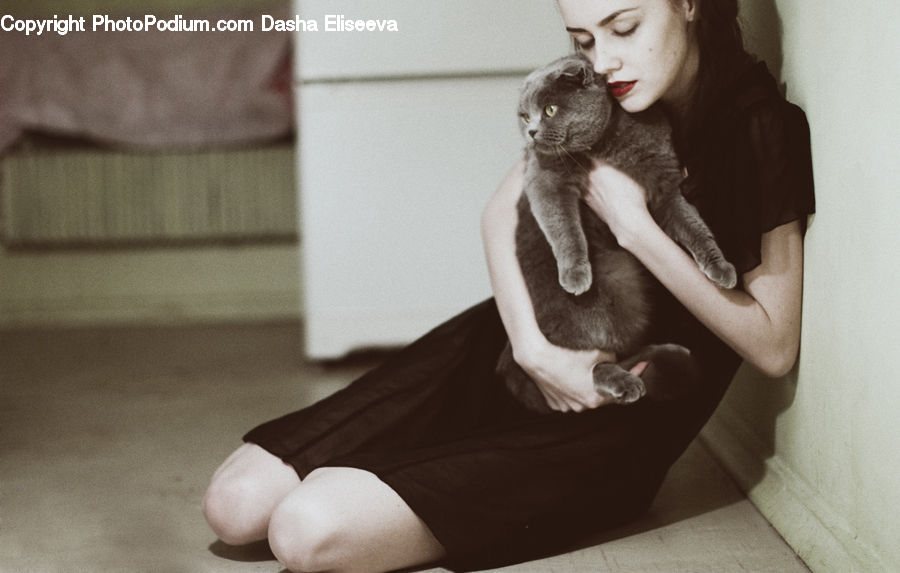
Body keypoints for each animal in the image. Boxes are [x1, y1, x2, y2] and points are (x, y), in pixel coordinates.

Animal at [496, 53, 736, 412]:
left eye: (550, 110)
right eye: (524, 116)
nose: (532, 132)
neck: (606, 143)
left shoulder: (666, 185)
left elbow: (695, 228)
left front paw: (720, 269)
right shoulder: (544, 177)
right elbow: (563, 226)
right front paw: (575, 275)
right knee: (592, 371)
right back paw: (627, 383)